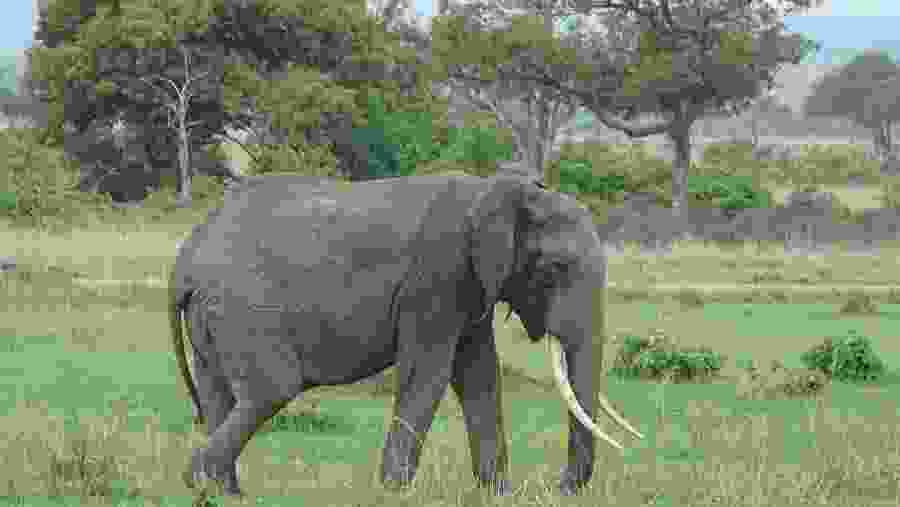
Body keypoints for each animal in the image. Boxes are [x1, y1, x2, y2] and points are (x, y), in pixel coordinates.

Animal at [169, 173, 644, 498]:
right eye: (554, 270)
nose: (559, 487)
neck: (496, 190)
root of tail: (185, 261)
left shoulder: (472, 288)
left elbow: (479, 377)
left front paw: (498, 495)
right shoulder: (439, 275)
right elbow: (428, 373)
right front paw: (394, 492)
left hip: (211, 318)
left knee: (218, 394)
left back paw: (224, 494)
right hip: (242, 309)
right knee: (272, 389)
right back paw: (198, 481)